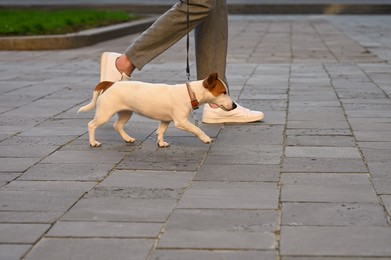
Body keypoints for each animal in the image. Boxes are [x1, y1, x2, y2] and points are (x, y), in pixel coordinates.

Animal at [77, 72, 236, 147]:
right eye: (223, 92)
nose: (234, 106)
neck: (190, 93)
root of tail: (110, 83)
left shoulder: (165, 120)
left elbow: (161, 131)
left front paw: (161, 143)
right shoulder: (181, 121)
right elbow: (196, 129)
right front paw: (205, 138)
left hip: (126, 112)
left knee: (118, 125)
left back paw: (127, 138)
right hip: (105, 113)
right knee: (91, 125)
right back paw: (93, 142)